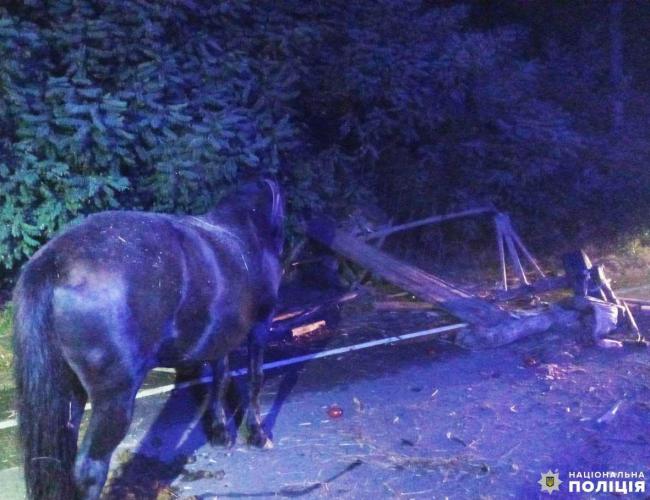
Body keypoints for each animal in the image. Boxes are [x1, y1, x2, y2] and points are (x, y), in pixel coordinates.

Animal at [13, 181, 282, 500]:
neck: (247, 228)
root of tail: (54, 261)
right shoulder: (260, 327)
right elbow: (255, 378)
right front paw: (257, 434)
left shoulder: (221, 336)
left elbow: (220, 377)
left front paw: (219, 432)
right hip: (115, 397)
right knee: (90, 468)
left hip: (68, 390)